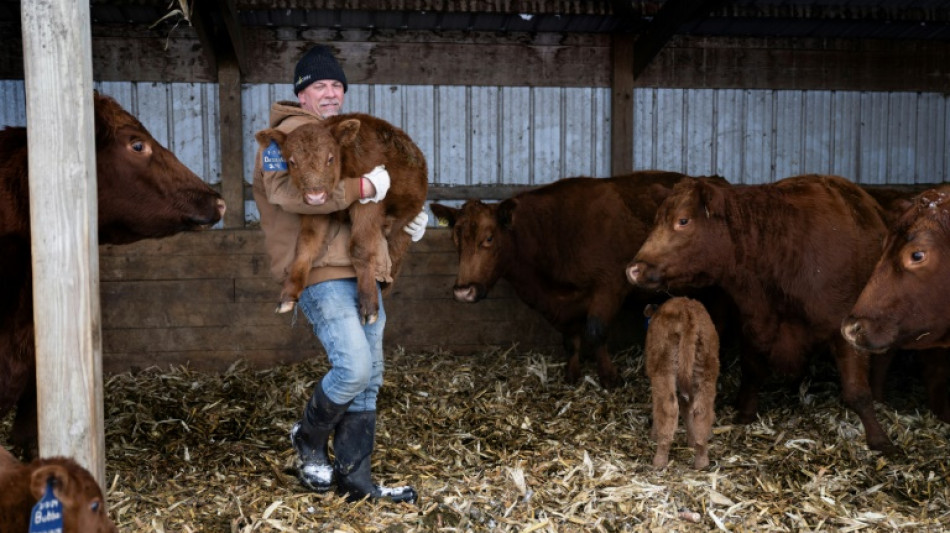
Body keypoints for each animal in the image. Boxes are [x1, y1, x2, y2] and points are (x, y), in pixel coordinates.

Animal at [256, 114, 428, 322]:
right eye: (291, 162)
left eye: (330, 158)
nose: (315, 196)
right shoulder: (316, 211)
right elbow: (306, 245)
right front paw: (288, 295)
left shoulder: (369, 202)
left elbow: (360, 248)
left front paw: (368, 305)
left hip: (404, 226)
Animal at [432, 172, 720, 388]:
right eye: (456, 239)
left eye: (489, 238)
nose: (463, 291)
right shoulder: (558, 304)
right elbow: (571, 337)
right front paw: (572, 374)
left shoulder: (611, 285)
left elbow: (595, 331)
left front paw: (609, 377)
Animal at [648, 298, 720, 468]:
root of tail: (687, 311)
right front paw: (691, 441)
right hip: (706, 369)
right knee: (701, 411)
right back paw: (701, 460)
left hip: (664, 368)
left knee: (669, 408)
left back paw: (659, 460)